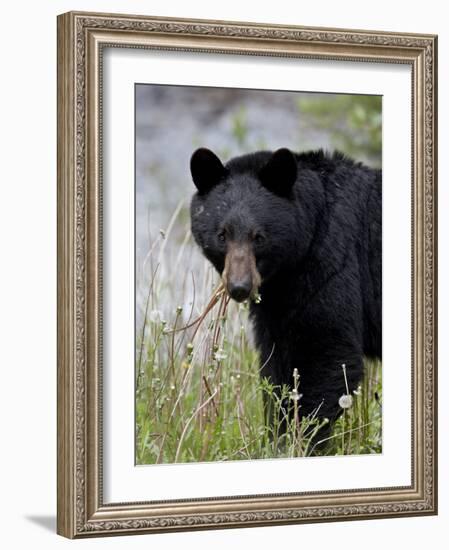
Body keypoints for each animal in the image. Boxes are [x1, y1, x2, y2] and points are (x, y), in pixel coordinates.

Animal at [189, 148, 382, 448]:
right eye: (222, 235)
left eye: (259, 237)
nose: (239, 287)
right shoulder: (278, 299)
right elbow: (277, 363)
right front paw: (277, 436)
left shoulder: (330, 264)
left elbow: (327, 353)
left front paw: (303, 440)